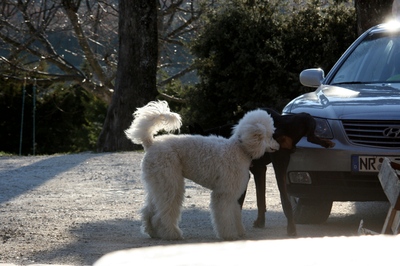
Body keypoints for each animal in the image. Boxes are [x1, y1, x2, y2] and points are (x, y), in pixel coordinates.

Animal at [189, 108, 336, 235]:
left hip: (279, 161)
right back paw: (326, 143)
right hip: (306, 117)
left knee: (285, 200)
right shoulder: (259, 170)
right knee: (311, 135)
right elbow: (260, 199)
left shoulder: (246, 174)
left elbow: (239, 203)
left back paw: (291, 228)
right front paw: (260, 222)